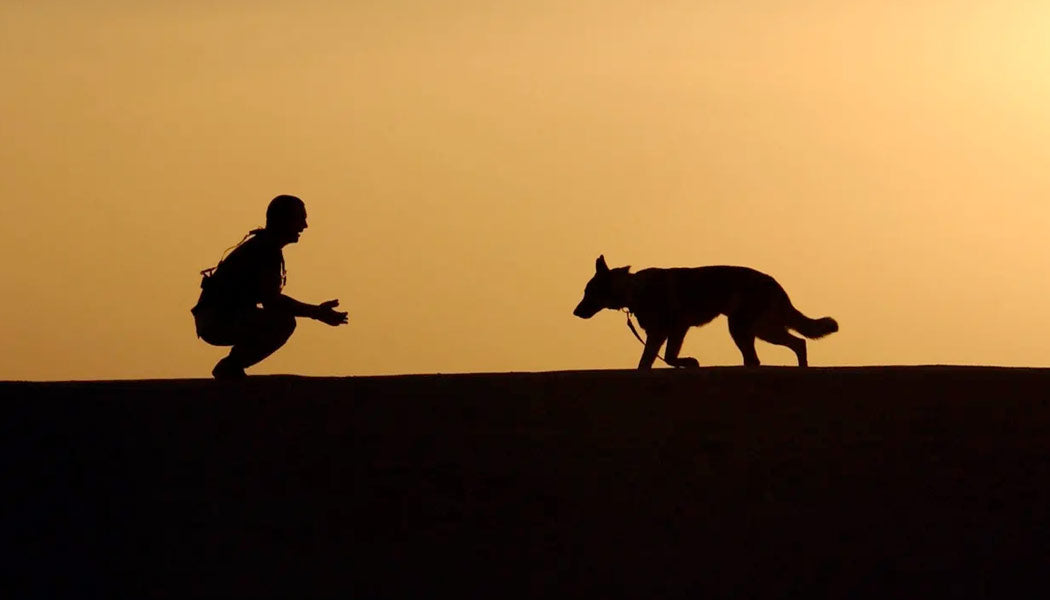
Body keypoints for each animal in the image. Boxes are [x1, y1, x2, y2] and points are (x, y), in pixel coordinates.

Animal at [575, 256, 835, 367]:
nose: (575, 312)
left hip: (748, 328)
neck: (633, 288)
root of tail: (773, 283)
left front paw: (687, 362)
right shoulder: (665, 333)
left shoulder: (669, 331)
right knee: (793, 345)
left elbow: (664, 358)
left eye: (589, 292)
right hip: (756, 329)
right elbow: (652, 361)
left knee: (793, 345)